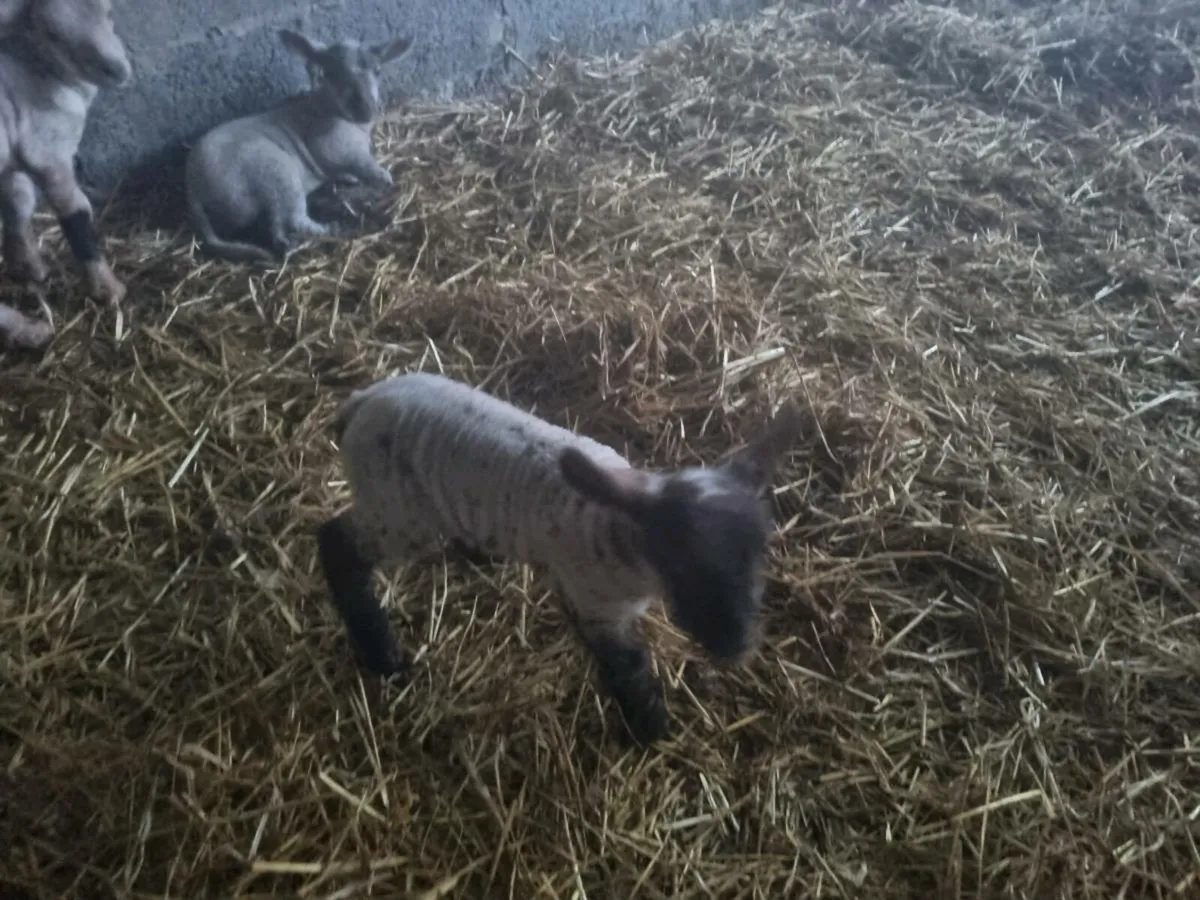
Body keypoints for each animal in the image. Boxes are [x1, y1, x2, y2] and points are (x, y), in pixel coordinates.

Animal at [0, 0, 132, 348]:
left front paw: (29, 266)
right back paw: (29, 330)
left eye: (109, 11)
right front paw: (108, 290)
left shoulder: (13, 163)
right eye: (53, 34)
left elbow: (19, 205)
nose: (117, 70)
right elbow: (76, 214)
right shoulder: (49, 150)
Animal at [184, 29, 413, 264]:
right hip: (273, 170)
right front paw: (382, 177)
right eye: (330, 73)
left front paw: (350, 178)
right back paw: (332, 229)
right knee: (294, 219)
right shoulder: (333, 145)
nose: (364, 108)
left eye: (377, 71)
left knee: (277, 228)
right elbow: (360, 163)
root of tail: (193, 191)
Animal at [316, 372, 803, 747]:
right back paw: (381, 653)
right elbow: (629, 666)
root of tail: (361, 403)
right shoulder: (595, 606)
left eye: (759, 555)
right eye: (680, 564)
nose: (735, 645)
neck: (618, 531)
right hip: (395, 512)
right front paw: (650, 727)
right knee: (337, 543)